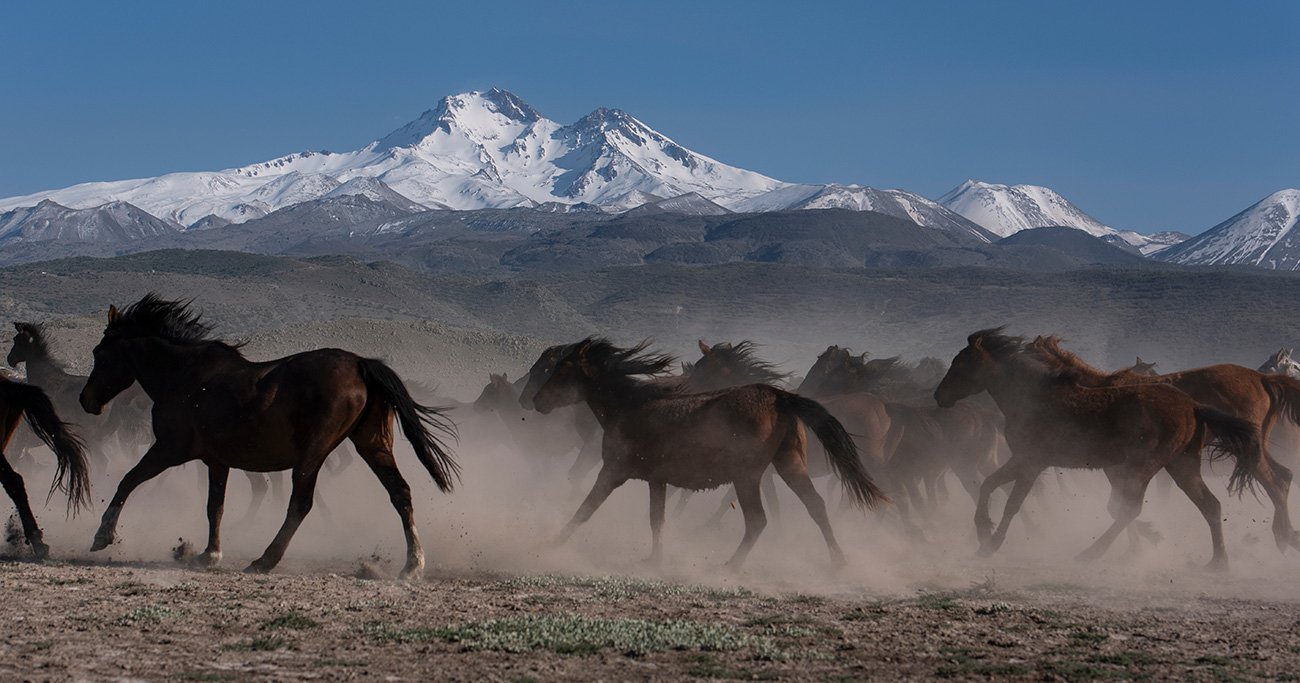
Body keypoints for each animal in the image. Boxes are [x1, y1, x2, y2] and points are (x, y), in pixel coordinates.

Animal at [78, 292, 460, 575]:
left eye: (99, 352)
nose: (87, 401)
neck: (183, 376)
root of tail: (360, 364)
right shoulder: (216, 461)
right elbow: (214, 506)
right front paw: (209, 554)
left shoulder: (169, 449)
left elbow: (128, 480)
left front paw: (102, 535)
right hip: (372, 444)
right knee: (400, 493)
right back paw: (412, 564)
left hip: (314, 453)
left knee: (301, 504)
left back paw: (264, 560)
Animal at [517, 338, 883, 567]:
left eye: (562, 370)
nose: (536, 401)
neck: (629, 406)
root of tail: (779, 397)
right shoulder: (656, 480)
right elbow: (657, 519)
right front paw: (655, 559)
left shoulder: (613, 472)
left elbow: (585, 509)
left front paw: (550, 545)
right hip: (789, 464)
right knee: (816, 506)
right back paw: (838, 561)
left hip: (747, 476)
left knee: (758, 520)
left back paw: (730, 565)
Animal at [935, 327, 1258, 567]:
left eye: (961, 363)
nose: (940, 396)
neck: (1032, 398)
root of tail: (1193, 405)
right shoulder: (1024, 460)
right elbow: (988, 484)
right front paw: (983, 533)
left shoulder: (1031, 462)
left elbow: (1012, 502)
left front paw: (992, 543)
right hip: (1181, 464)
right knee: (1210, 505)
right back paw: (1218, 562)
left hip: (1143, 466)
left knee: (1130, 509)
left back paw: (1090, 554)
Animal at [1024, 333, 1300, 549]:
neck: (1096, 391)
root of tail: (1262, 380)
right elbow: (1120, 505)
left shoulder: (1119, 467)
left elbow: (1120, 505)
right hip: (1257, 446)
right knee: (1283, 476)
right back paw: (1285, 535)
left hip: (1245, 449)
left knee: (1274, 482)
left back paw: (1283, 537)